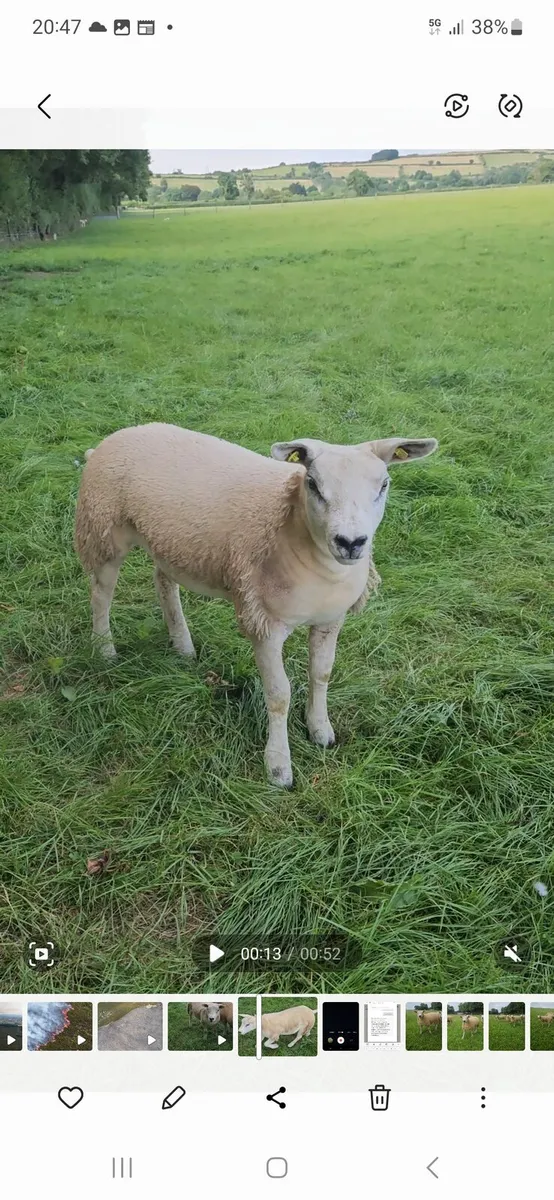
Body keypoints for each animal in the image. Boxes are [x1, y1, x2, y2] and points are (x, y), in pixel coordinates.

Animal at [75, 424, 438, 786]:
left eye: (384, 484)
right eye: (312, 483)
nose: (350, 542)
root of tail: (125, 432)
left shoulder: (331, 618)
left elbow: (322, 673)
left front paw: (320, 729)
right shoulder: (263, 622)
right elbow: (278, 695)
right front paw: (278, 766)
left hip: (170, 541)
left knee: (163, 581)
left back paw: (183, 645)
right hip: (103, 530)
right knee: (101, 594)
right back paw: (104, 649)